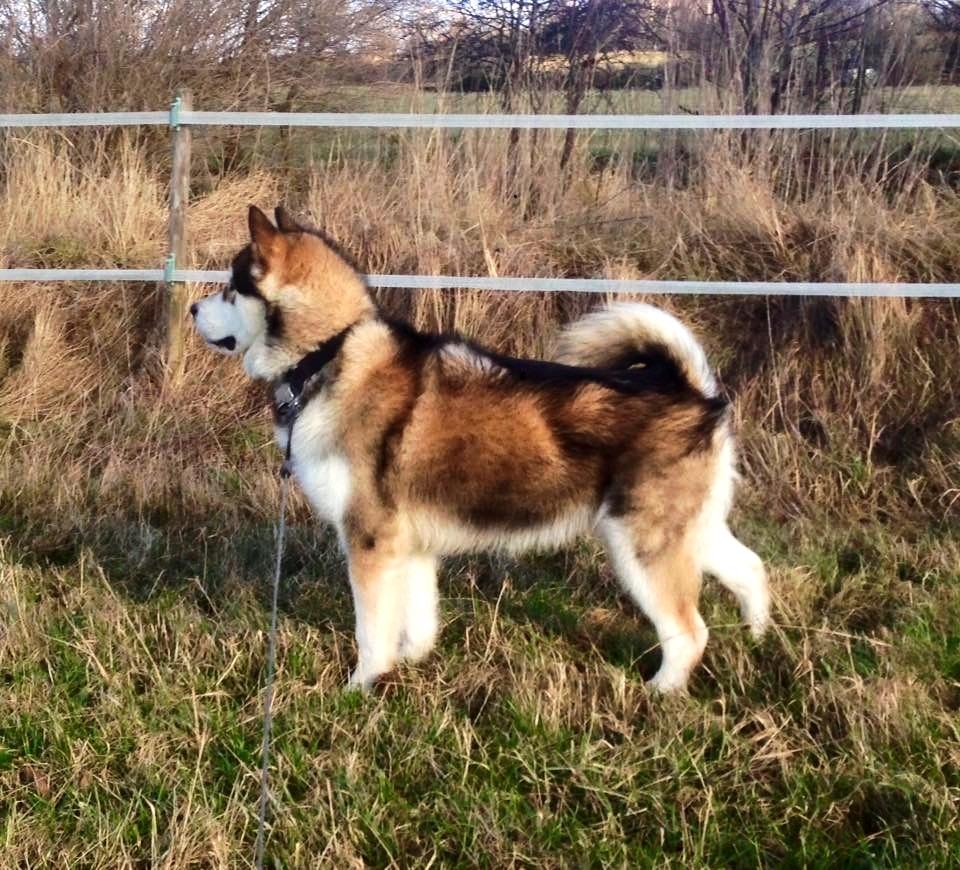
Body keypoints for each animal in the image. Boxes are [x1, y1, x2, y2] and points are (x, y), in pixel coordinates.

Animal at [191, 206, 768, 696]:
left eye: (230, 288)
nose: (194, 306)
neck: (328, 351)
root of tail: (691, 390)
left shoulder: (370, 542)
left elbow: (371, 630)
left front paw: (361, 686)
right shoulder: (410, 545)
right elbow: (418, 619)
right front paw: (412, 664)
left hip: (641, 547)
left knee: (690, 630)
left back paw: (660, 691)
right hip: (688, 533)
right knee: (752, 569)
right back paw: (759, 638)